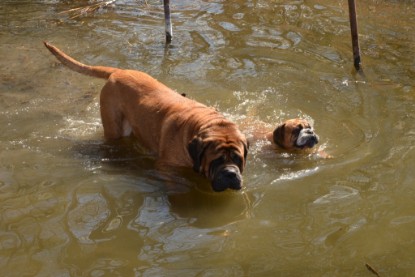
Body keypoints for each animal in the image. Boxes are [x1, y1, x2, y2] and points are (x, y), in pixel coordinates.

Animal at [44, 42, 249, 191]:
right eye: (217, 160)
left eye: (238, 159)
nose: (231, 174)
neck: (204, 125)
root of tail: (118, 71)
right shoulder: (166, 167)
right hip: (114, 128)